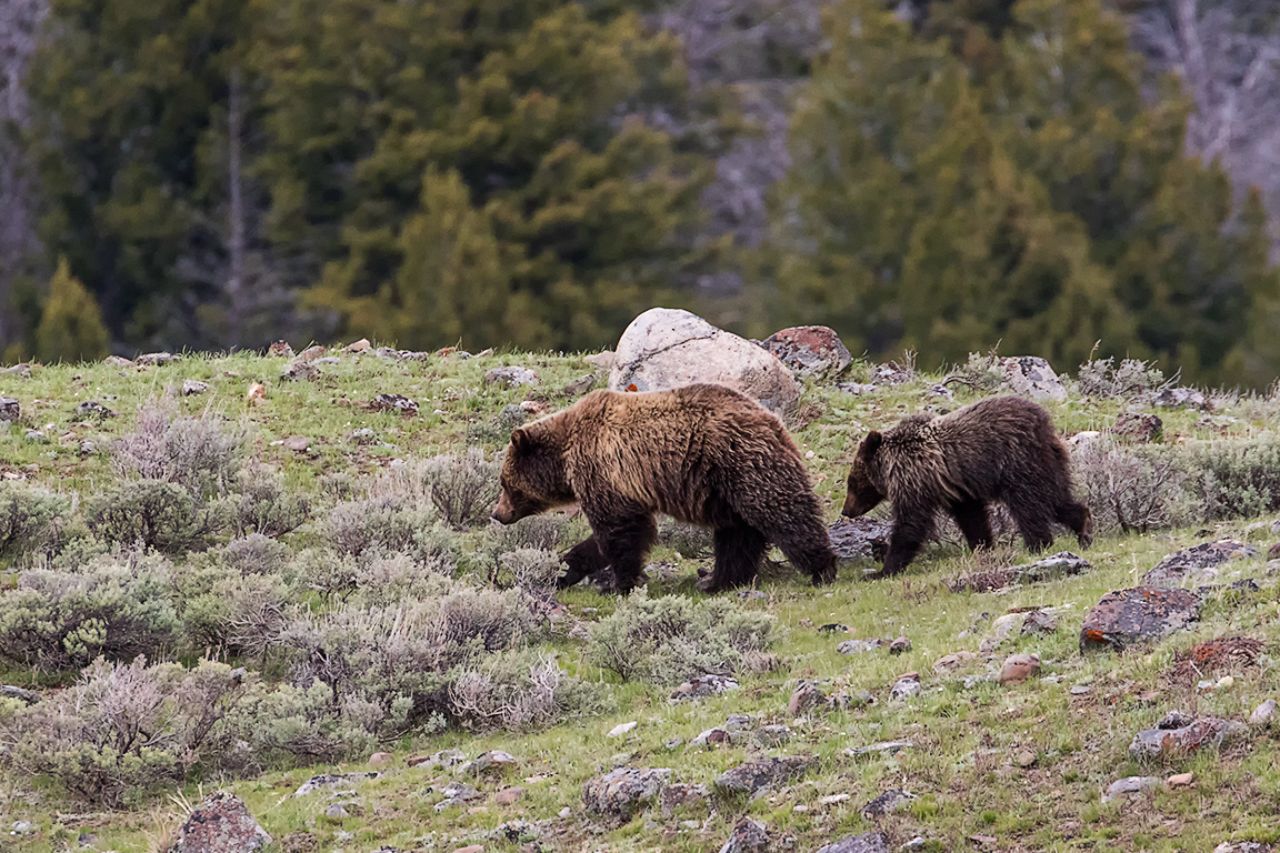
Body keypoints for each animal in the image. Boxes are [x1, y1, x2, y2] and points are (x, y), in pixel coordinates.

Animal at [491, 383, 838, 594]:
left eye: (505, 483)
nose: (497, 514)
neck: (565, 458)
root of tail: (774, 422)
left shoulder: (605, 471)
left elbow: (620, 532)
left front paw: (619, 583)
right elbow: (608, 536)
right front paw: (564, 570)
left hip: (743, 465)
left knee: (783, 514)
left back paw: (822, 568)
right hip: (726, 490)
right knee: (737, 535)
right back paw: (719, 581)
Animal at [842, 395, 1092, 577]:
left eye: (852, 483)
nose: (846, 510)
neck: (891, 465)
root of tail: (1044, 423)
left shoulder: (915, 480)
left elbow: (910, 524)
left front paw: (883, 570)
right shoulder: (957, 490)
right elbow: (972, 518)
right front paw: (983, 547)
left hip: (1018, 463)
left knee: (1029, 507)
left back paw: (1037, 544)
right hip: (1050, 463)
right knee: (1056, 500)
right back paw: (1083, 527)